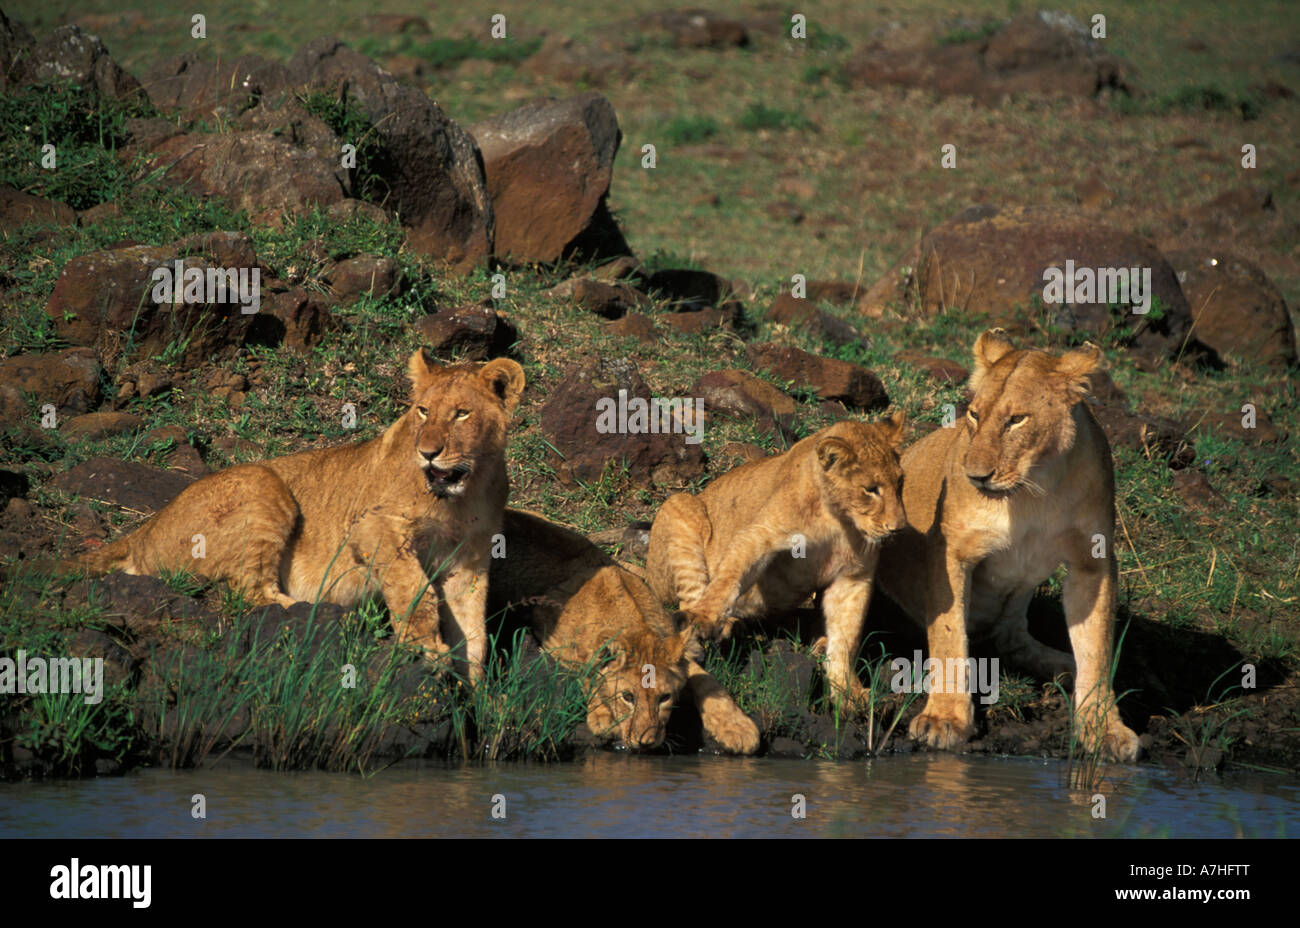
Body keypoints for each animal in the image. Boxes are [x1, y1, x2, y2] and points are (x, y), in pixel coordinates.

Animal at [67, 349, 525, 681]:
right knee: (249, 592)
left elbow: (473, 630)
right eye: (423, 411)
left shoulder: (469, 561)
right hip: (262, 483)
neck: (466, 492)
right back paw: (312, 608)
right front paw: (426, 648)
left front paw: (476, 693)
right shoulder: (371, 524)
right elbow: (415, 589)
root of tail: (143, 530)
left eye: (462, 413)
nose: (427, 452)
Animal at [489, 508, 760, 754]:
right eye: (628, 697)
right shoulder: (549, 629)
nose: (646, 742)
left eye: (664, 698)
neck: (635, 623)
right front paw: (602, 716)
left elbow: (707, 681)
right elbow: (588, 670)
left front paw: (738, 728)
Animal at [645, 413, 907, 710]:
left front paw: (848, 693)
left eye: (900, 483)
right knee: (687, 599)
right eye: (871, 490)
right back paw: (722, 626)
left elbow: (846, 638)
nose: (899, 528)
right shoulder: (758, 536)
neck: (837, 521)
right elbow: (729, 578)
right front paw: (705, 617)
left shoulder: (852, 578)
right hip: (680, 505)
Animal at [876, 329, 1141, 762]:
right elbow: (949, 635)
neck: (1033, 490)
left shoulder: (1094, 559)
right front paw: (945, 718)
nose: (975, 475)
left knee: (1013, 640)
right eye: (973, 415)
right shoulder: (951, 549)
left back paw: (1063, 666)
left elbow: (1097, 648)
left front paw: (1104, 729)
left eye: (1017, 419)